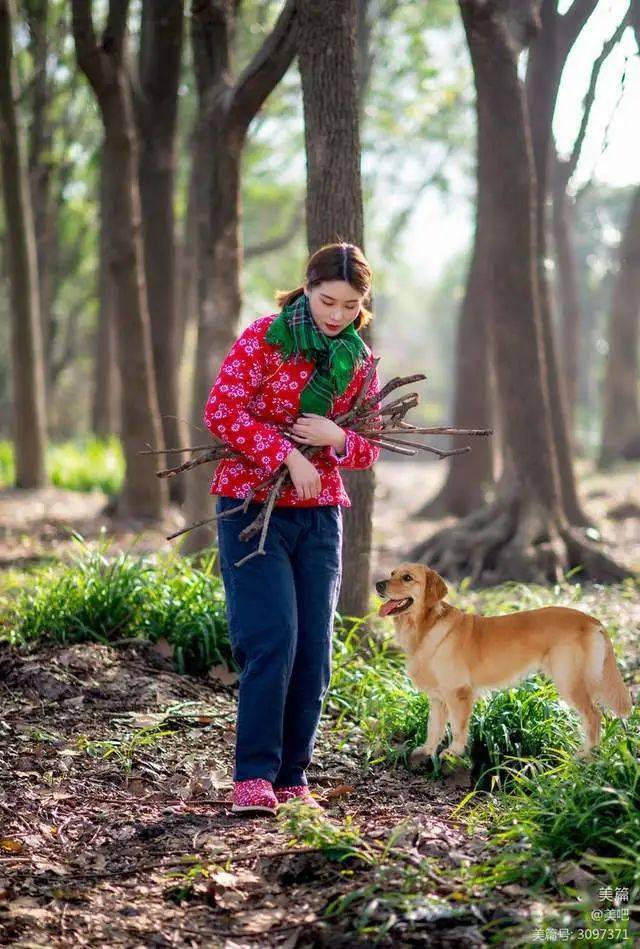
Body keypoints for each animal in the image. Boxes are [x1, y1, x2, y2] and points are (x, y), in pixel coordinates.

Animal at [376, 564, 632, 764]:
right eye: (392, 573)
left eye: (407, 578)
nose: (378, 584)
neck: (425, 627)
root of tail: (592, 620)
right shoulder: (438, 697)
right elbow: (434, 727)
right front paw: (428, 750)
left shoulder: (458, 692)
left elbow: (458, 727)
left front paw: (453, 752)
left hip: (569, 681)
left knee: (594, 716)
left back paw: (586, 755)